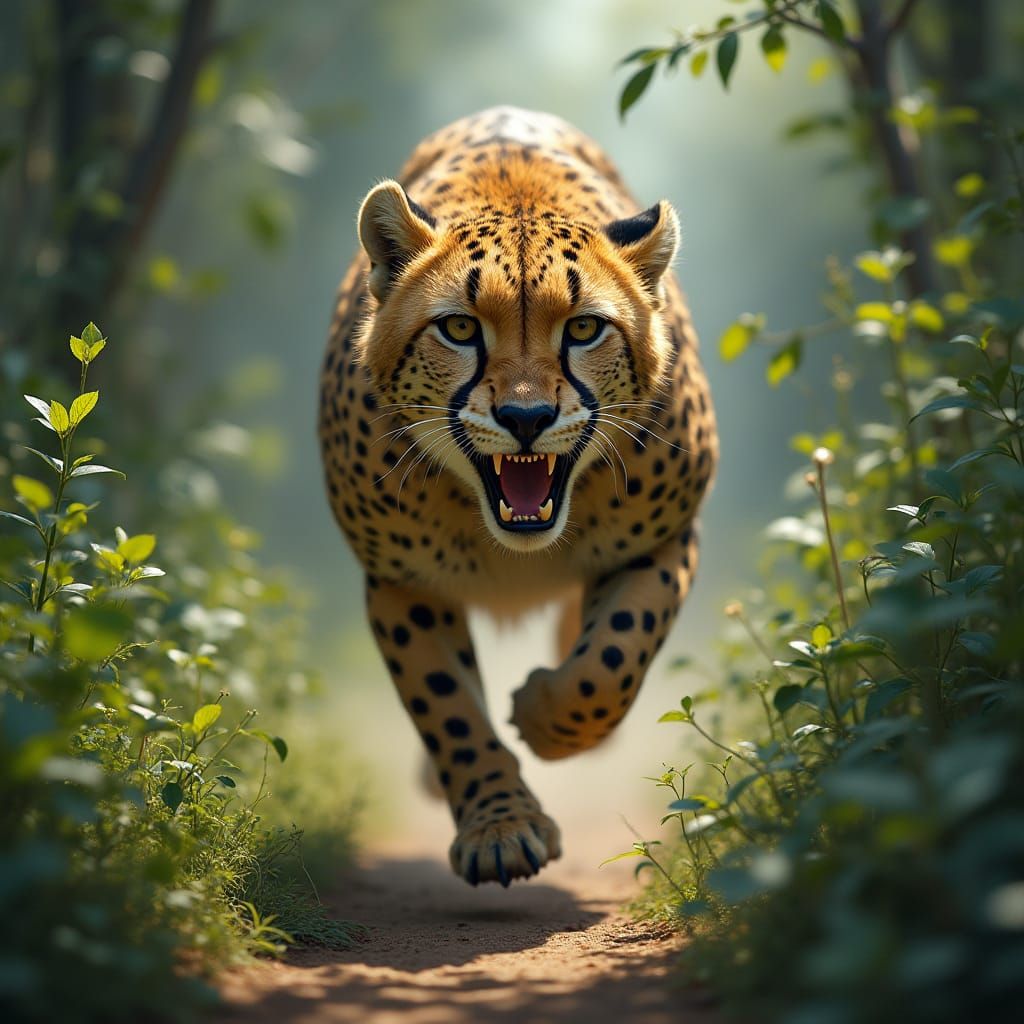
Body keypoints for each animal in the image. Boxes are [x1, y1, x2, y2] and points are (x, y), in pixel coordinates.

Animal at [319, 106, 717, 887]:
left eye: (585, 327)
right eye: (459, 327)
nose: (525, 417)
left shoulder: (665, 540)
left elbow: (611, 662)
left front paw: (541, 714)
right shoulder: (402, 583)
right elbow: (448, 711)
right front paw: (500, 827)